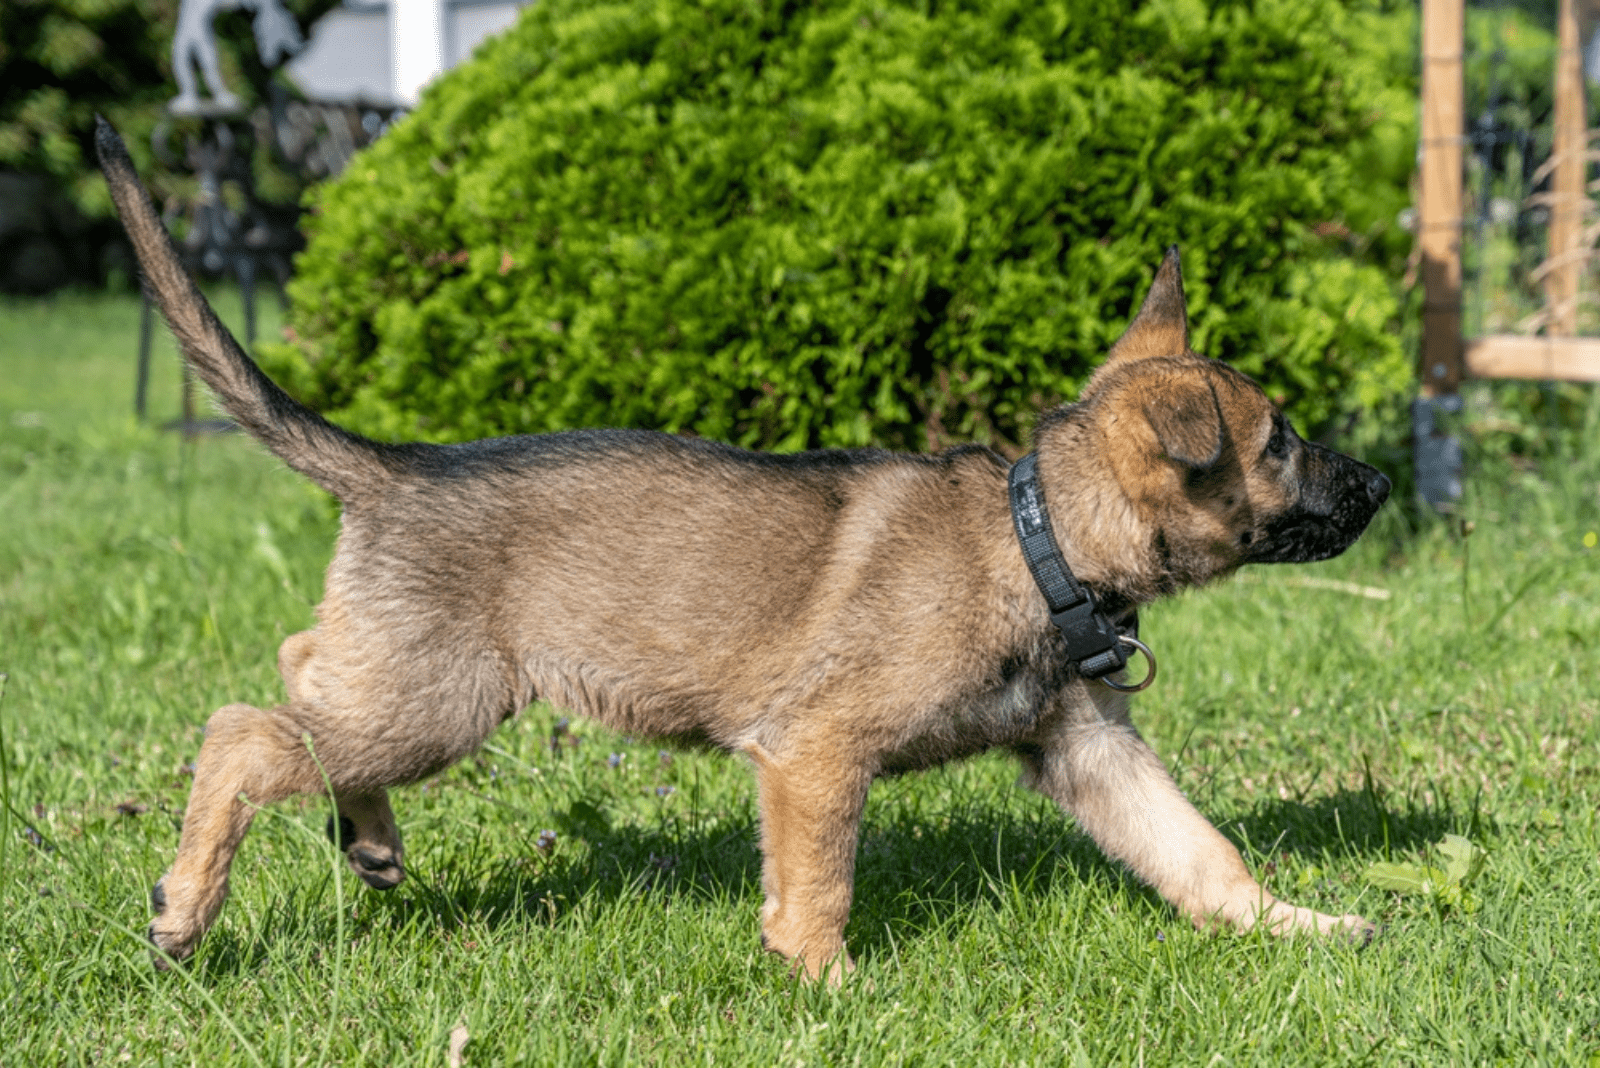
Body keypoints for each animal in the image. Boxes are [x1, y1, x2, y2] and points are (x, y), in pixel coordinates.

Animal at [96, 120, 1388, 978]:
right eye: (1280, 441)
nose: (1376, 481)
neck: (1037, 544)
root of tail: (397, 465)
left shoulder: (1091, 752)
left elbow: (1201, 852)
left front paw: (1297, 927)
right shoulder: (816, 755)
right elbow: (820, 880)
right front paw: (827, 985)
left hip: (407, 683)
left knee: (302, 672)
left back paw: (364, 841)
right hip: (440, 700)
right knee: (247, 730)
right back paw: (186, 908)